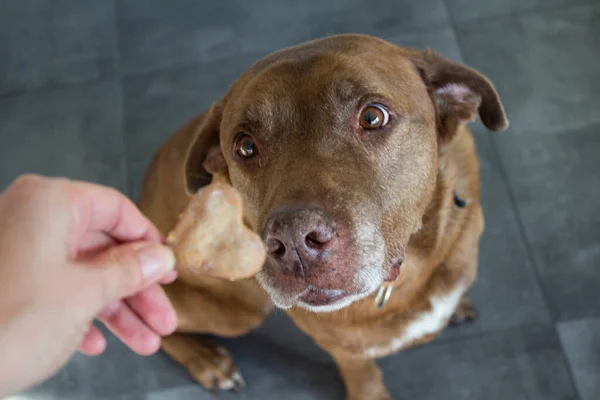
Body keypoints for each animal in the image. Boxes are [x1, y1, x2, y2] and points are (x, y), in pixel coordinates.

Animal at [139, 35, 506, 400]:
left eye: (372, 117)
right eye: (245, 146)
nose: (293, 240)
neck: (410, 272)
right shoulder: (346, 352)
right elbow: (364, 377)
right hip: (234, 312)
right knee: (154, 322)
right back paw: (208, 361)